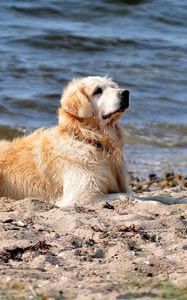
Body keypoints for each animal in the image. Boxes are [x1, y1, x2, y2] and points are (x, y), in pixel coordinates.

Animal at [0, 75, 130, 206]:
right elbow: (125, 195)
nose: (126, 93)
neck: (89, 139)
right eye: (97, 91)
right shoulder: (81, 196)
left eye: (113, 86)